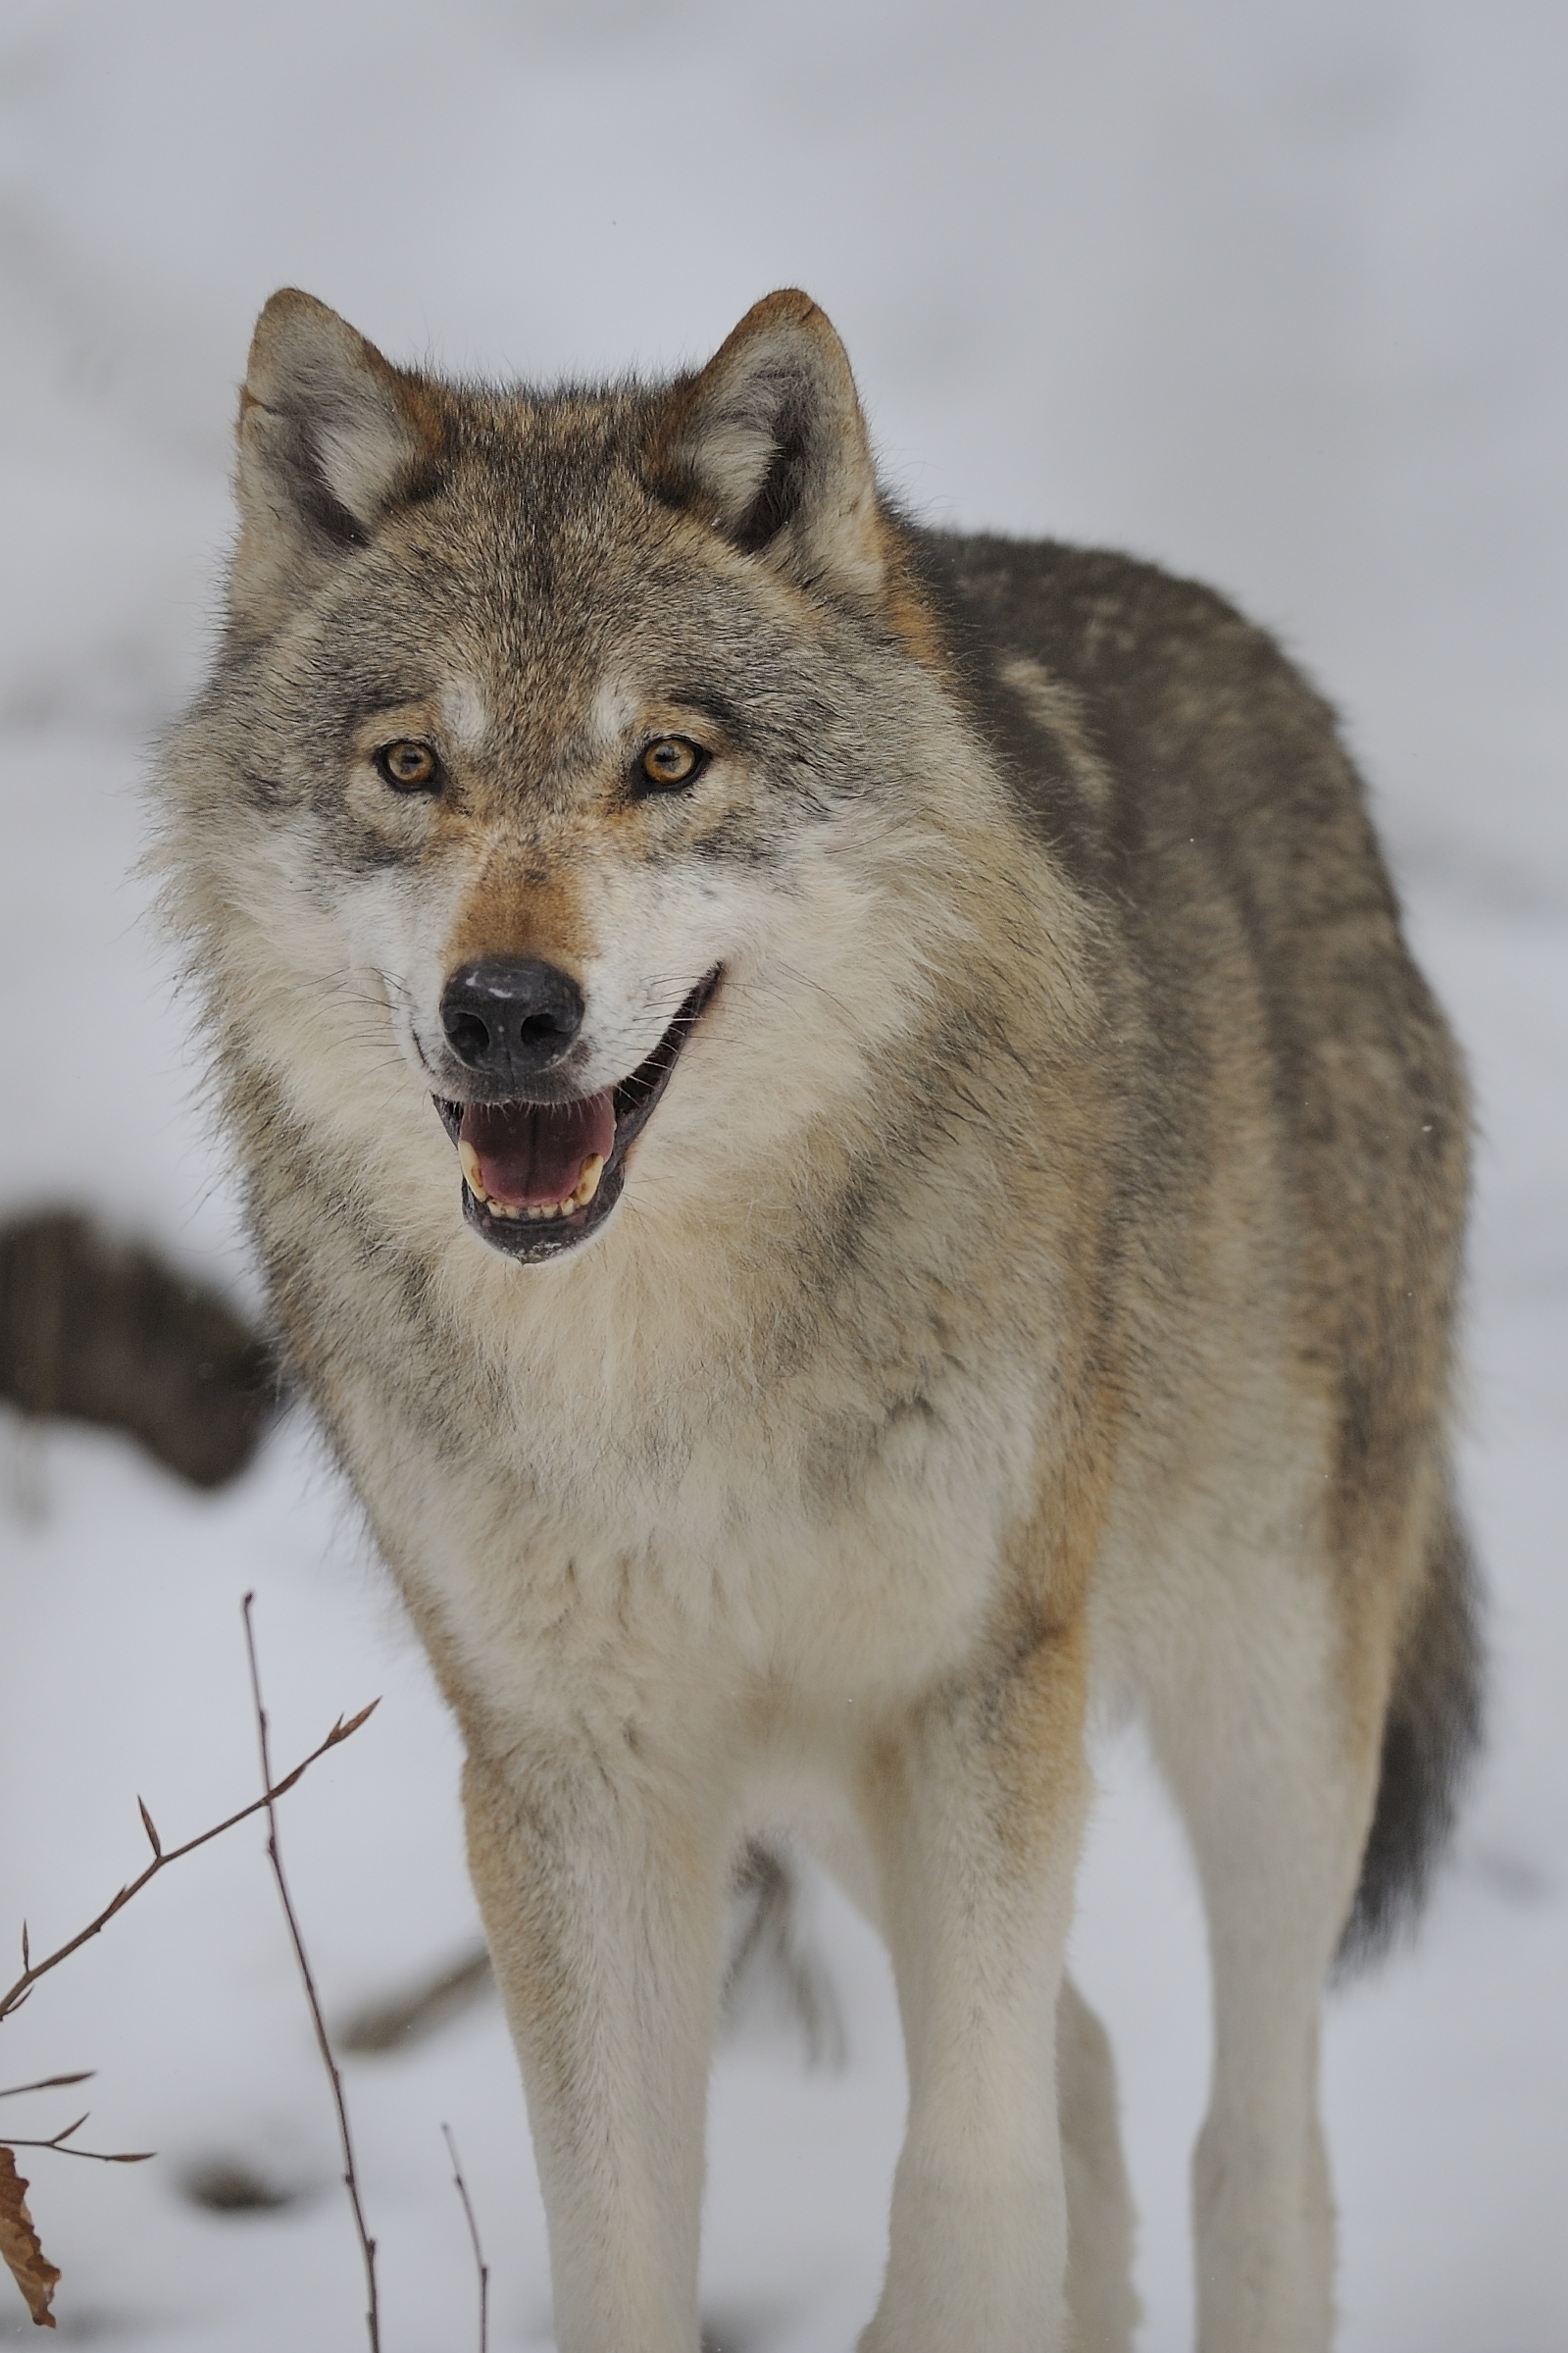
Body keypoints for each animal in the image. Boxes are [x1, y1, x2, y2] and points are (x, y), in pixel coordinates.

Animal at [156, 286, 1480, 2351]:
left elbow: (970, 2180)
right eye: (411, 766)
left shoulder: (974, 1688)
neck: (658, 1363)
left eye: (664, 761)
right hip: (842, 1778)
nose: (506, 1010)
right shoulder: (575, 1774)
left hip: (1251, 1698)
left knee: (1248, 2134)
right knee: (1086, 2060)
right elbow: (624, 2242)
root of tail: (1289, 702)